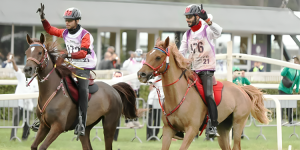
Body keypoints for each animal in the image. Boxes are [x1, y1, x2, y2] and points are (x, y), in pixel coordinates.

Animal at [137, 36, 270, 150]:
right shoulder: (168, 130)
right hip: (223, 129)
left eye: (158, 57)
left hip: (238, 124)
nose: (141, 74)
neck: (178, 96)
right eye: (147, 54)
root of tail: (242, 89)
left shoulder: (192, 130)